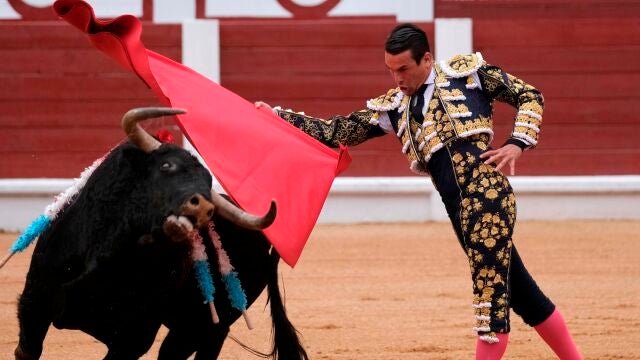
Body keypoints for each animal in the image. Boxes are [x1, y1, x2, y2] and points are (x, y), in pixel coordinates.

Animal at [12, 107, 308, 360]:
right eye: (166, 166)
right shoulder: (33, 306)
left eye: (207, 183)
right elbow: (26, 350)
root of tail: (265, 243)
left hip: (207, 326)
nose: (204, 207)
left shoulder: (132, 339)